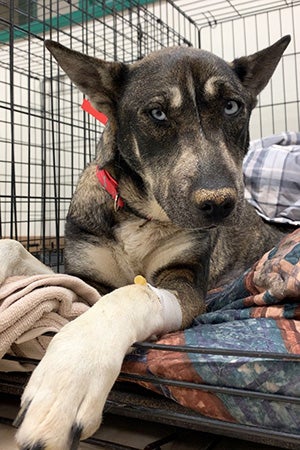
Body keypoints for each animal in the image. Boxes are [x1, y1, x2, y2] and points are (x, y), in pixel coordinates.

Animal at [14, 36, 290, 450]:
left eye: (231, 106)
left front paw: (70, 376)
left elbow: (131, 295)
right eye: (158, 113)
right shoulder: (85, 273)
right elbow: (76, 292)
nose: (219, 204)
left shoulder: (185, 276)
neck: (142, 213)